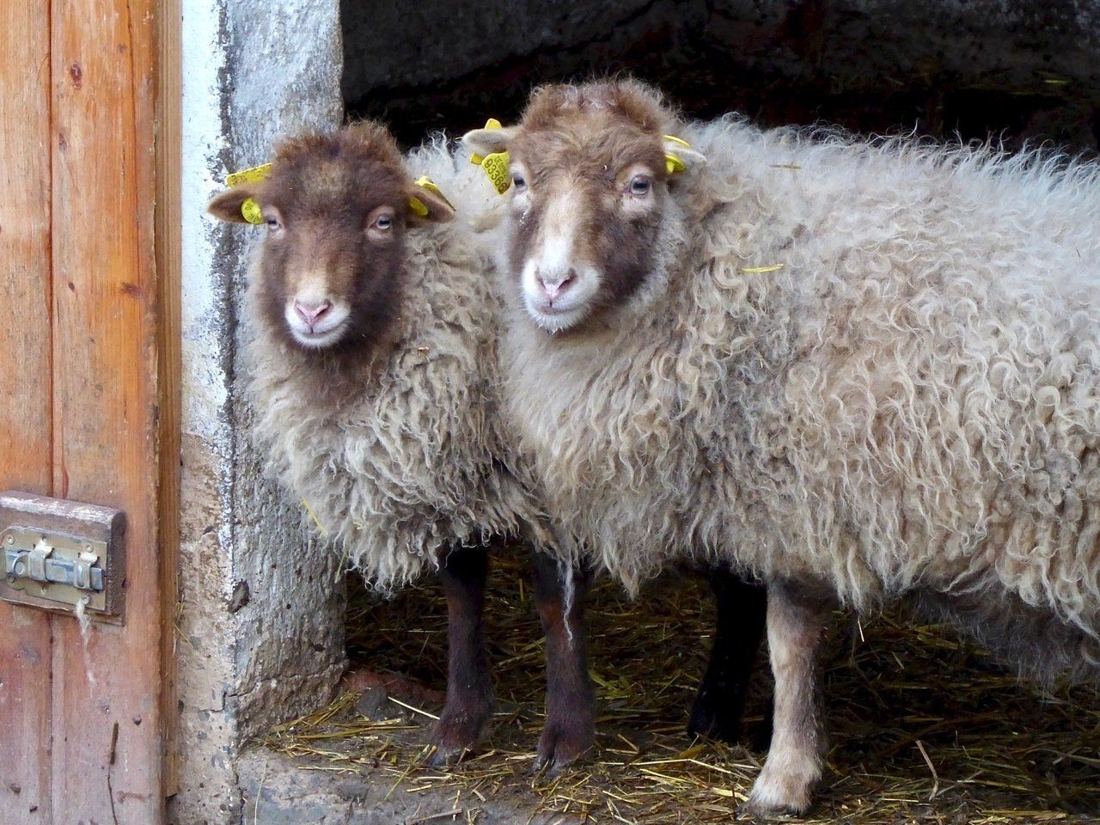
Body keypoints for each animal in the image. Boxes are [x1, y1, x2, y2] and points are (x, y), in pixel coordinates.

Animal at [464, 78, 1100, 814]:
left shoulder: (795, 498)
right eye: (518, 180)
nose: (552, 283)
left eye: (638, 184)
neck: (724, 263)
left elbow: (788, 644)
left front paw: (783, 778)